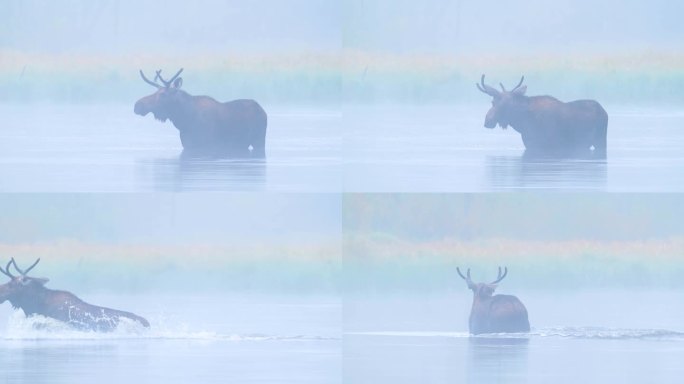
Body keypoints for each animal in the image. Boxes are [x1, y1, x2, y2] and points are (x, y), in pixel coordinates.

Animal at [134, 68, 268, 158]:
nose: (137, 105)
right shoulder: (188, 145)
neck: (184, 119)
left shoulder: (206, 145)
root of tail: (262, 110)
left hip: (259, 139)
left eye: (163, 94)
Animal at [478, 74, 608, 158]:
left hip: (600, 140)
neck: (522, 122)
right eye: (493, 102)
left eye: (505, 104)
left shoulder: (548, 145)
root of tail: (604, 112)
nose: (488, 120)